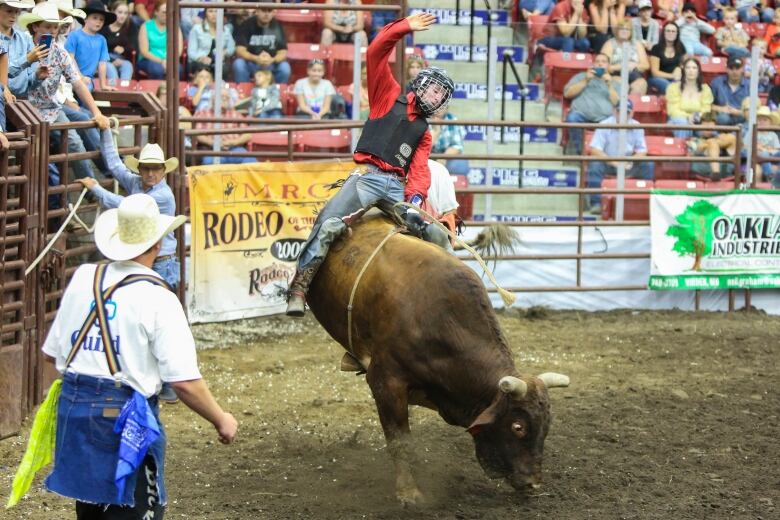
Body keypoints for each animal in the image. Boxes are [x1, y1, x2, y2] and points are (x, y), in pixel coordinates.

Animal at [308, 211, 568, 504]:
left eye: (547, 424)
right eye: (518, 426)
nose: (532, 483)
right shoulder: (385, 382)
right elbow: (400, 441)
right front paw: (409, 492)